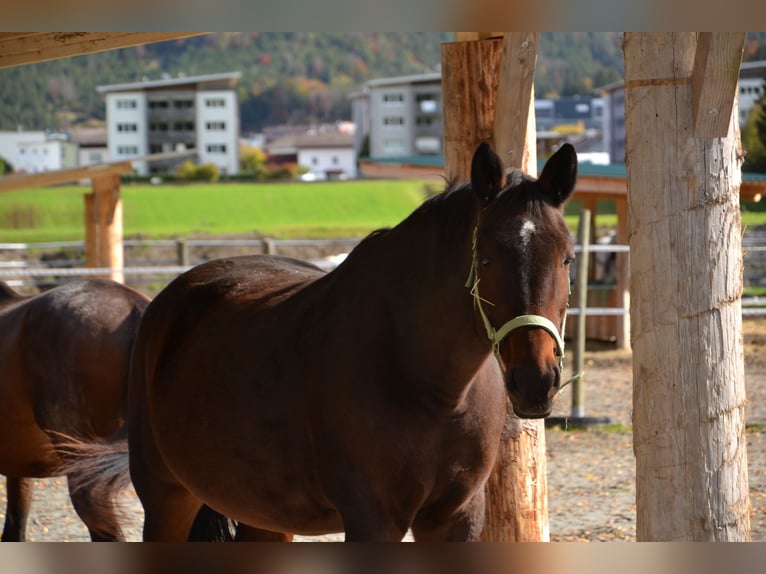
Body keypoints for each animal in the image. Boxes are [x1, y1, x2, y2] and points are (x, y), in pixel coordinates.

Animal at [85, 142, 576, 544]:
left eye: (567, 258)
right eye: (487, 257)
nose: (536, 381)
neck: (428, 385)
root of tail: (166, 302)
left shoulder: (458, 519)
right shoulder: (372, 521)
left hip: (263, 515)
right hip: (166, 496)